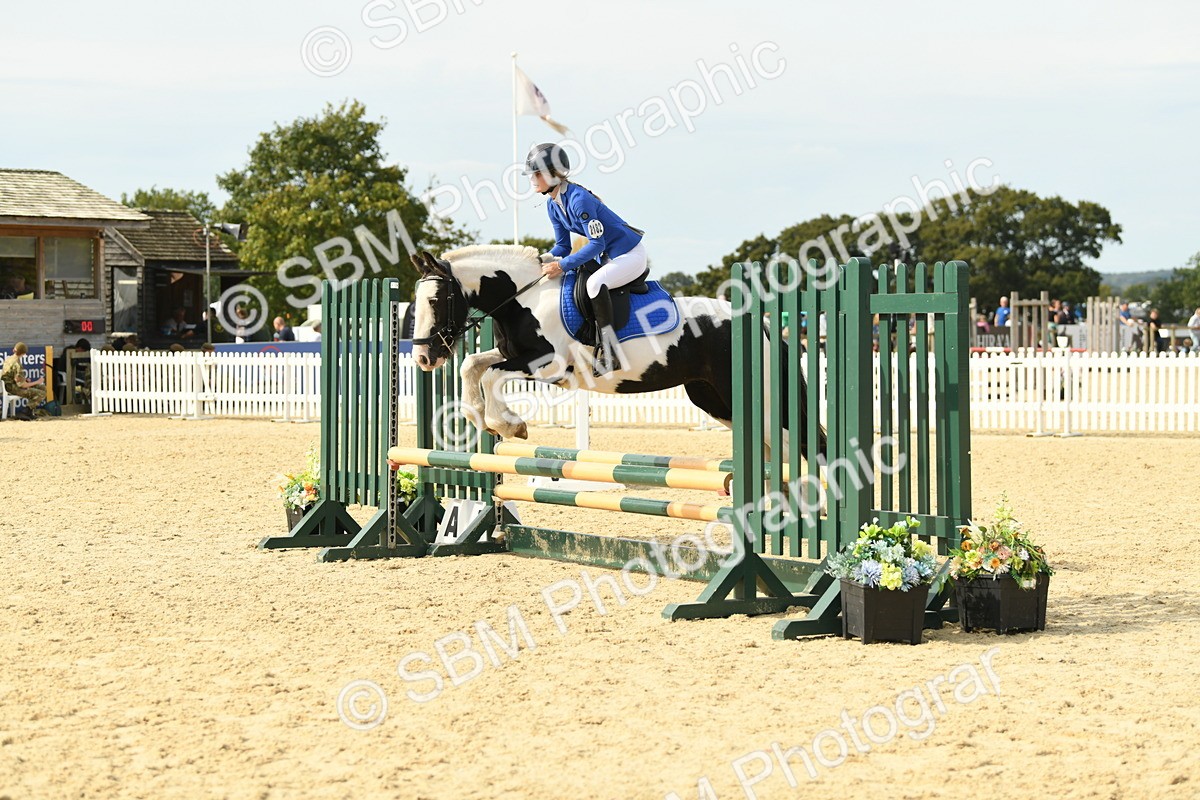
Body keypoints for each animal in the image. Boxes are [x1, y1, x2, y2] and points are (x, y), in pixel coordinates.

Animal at [407, 245, 824, 457]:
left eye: (436, 300)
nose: (424, 359)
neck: (523, 298)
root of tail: (762, 323)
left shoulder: (548, 366)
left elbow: (491, 375)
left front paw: (509, 424)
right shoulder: (513, 355)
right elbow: (474, 365)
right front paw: (481, 418)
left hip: (754, 399)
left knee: (793, 443)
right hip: (714, 399)